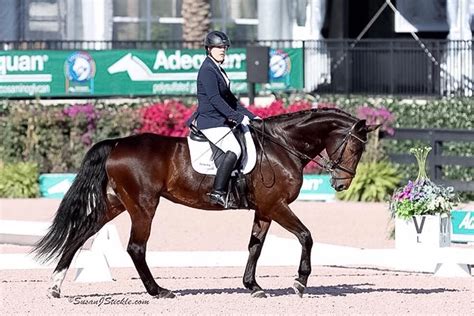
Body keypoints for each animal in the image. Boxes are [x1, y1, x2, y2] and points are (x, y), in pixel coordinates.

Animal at [33, 108, 380, 298]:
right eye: (354, 148)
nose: (341, 184)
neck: (282, 147)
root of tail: (117, 143)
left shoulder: (264, 209)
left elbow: (255, 246)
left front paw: (253, 286)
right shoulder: (277, 205)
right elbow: (306, 236)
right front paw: (299, 282)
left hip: (115, 203)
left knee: (80, 234)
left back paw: (55, 287)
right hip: (143, 205)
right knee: (136, 247)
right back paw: (159, 291)